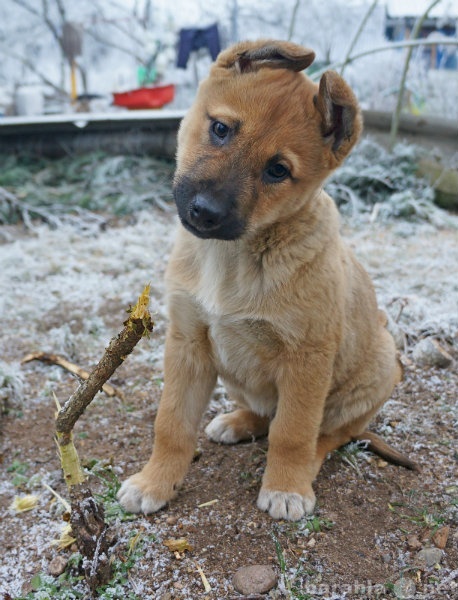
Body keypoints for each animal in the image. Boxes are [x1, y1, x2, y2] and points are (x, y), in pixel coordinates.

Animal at [117, 41, 412, 520]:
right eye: (220, 129)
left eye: (278, 170)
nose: (204, 212)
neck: (233, 257)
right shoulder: (187, 341)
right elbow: (171, 423)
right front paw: (155, 482)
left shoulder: (307, 358)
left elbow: (293, 431)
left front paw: (286, 487)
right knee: (263, 413)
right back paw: (238, 422)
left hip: (382, 365)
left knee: (329, 434)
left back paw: (305, 466)